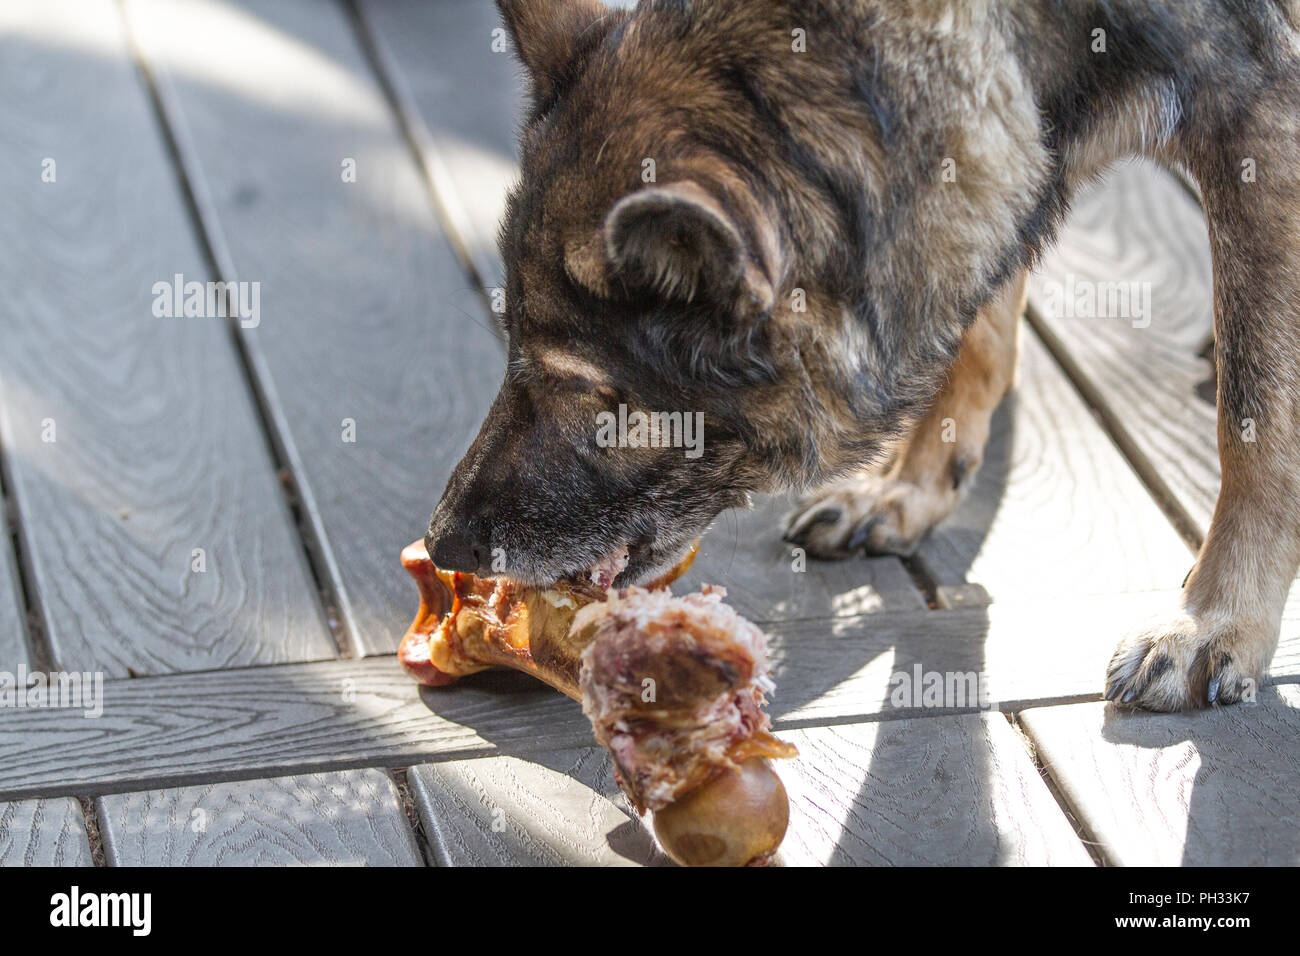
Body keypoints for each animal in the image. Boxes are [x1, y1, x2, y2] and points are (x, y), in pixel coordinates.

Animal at [426, 0, 1300, 712]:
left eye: (596, 401)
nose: (440, 544)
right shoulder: (1003, 161)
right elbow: (976, 332)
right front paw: (910, 487)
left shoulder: (1261, 119)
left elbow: (1256, 425)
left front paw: (1215, 620)